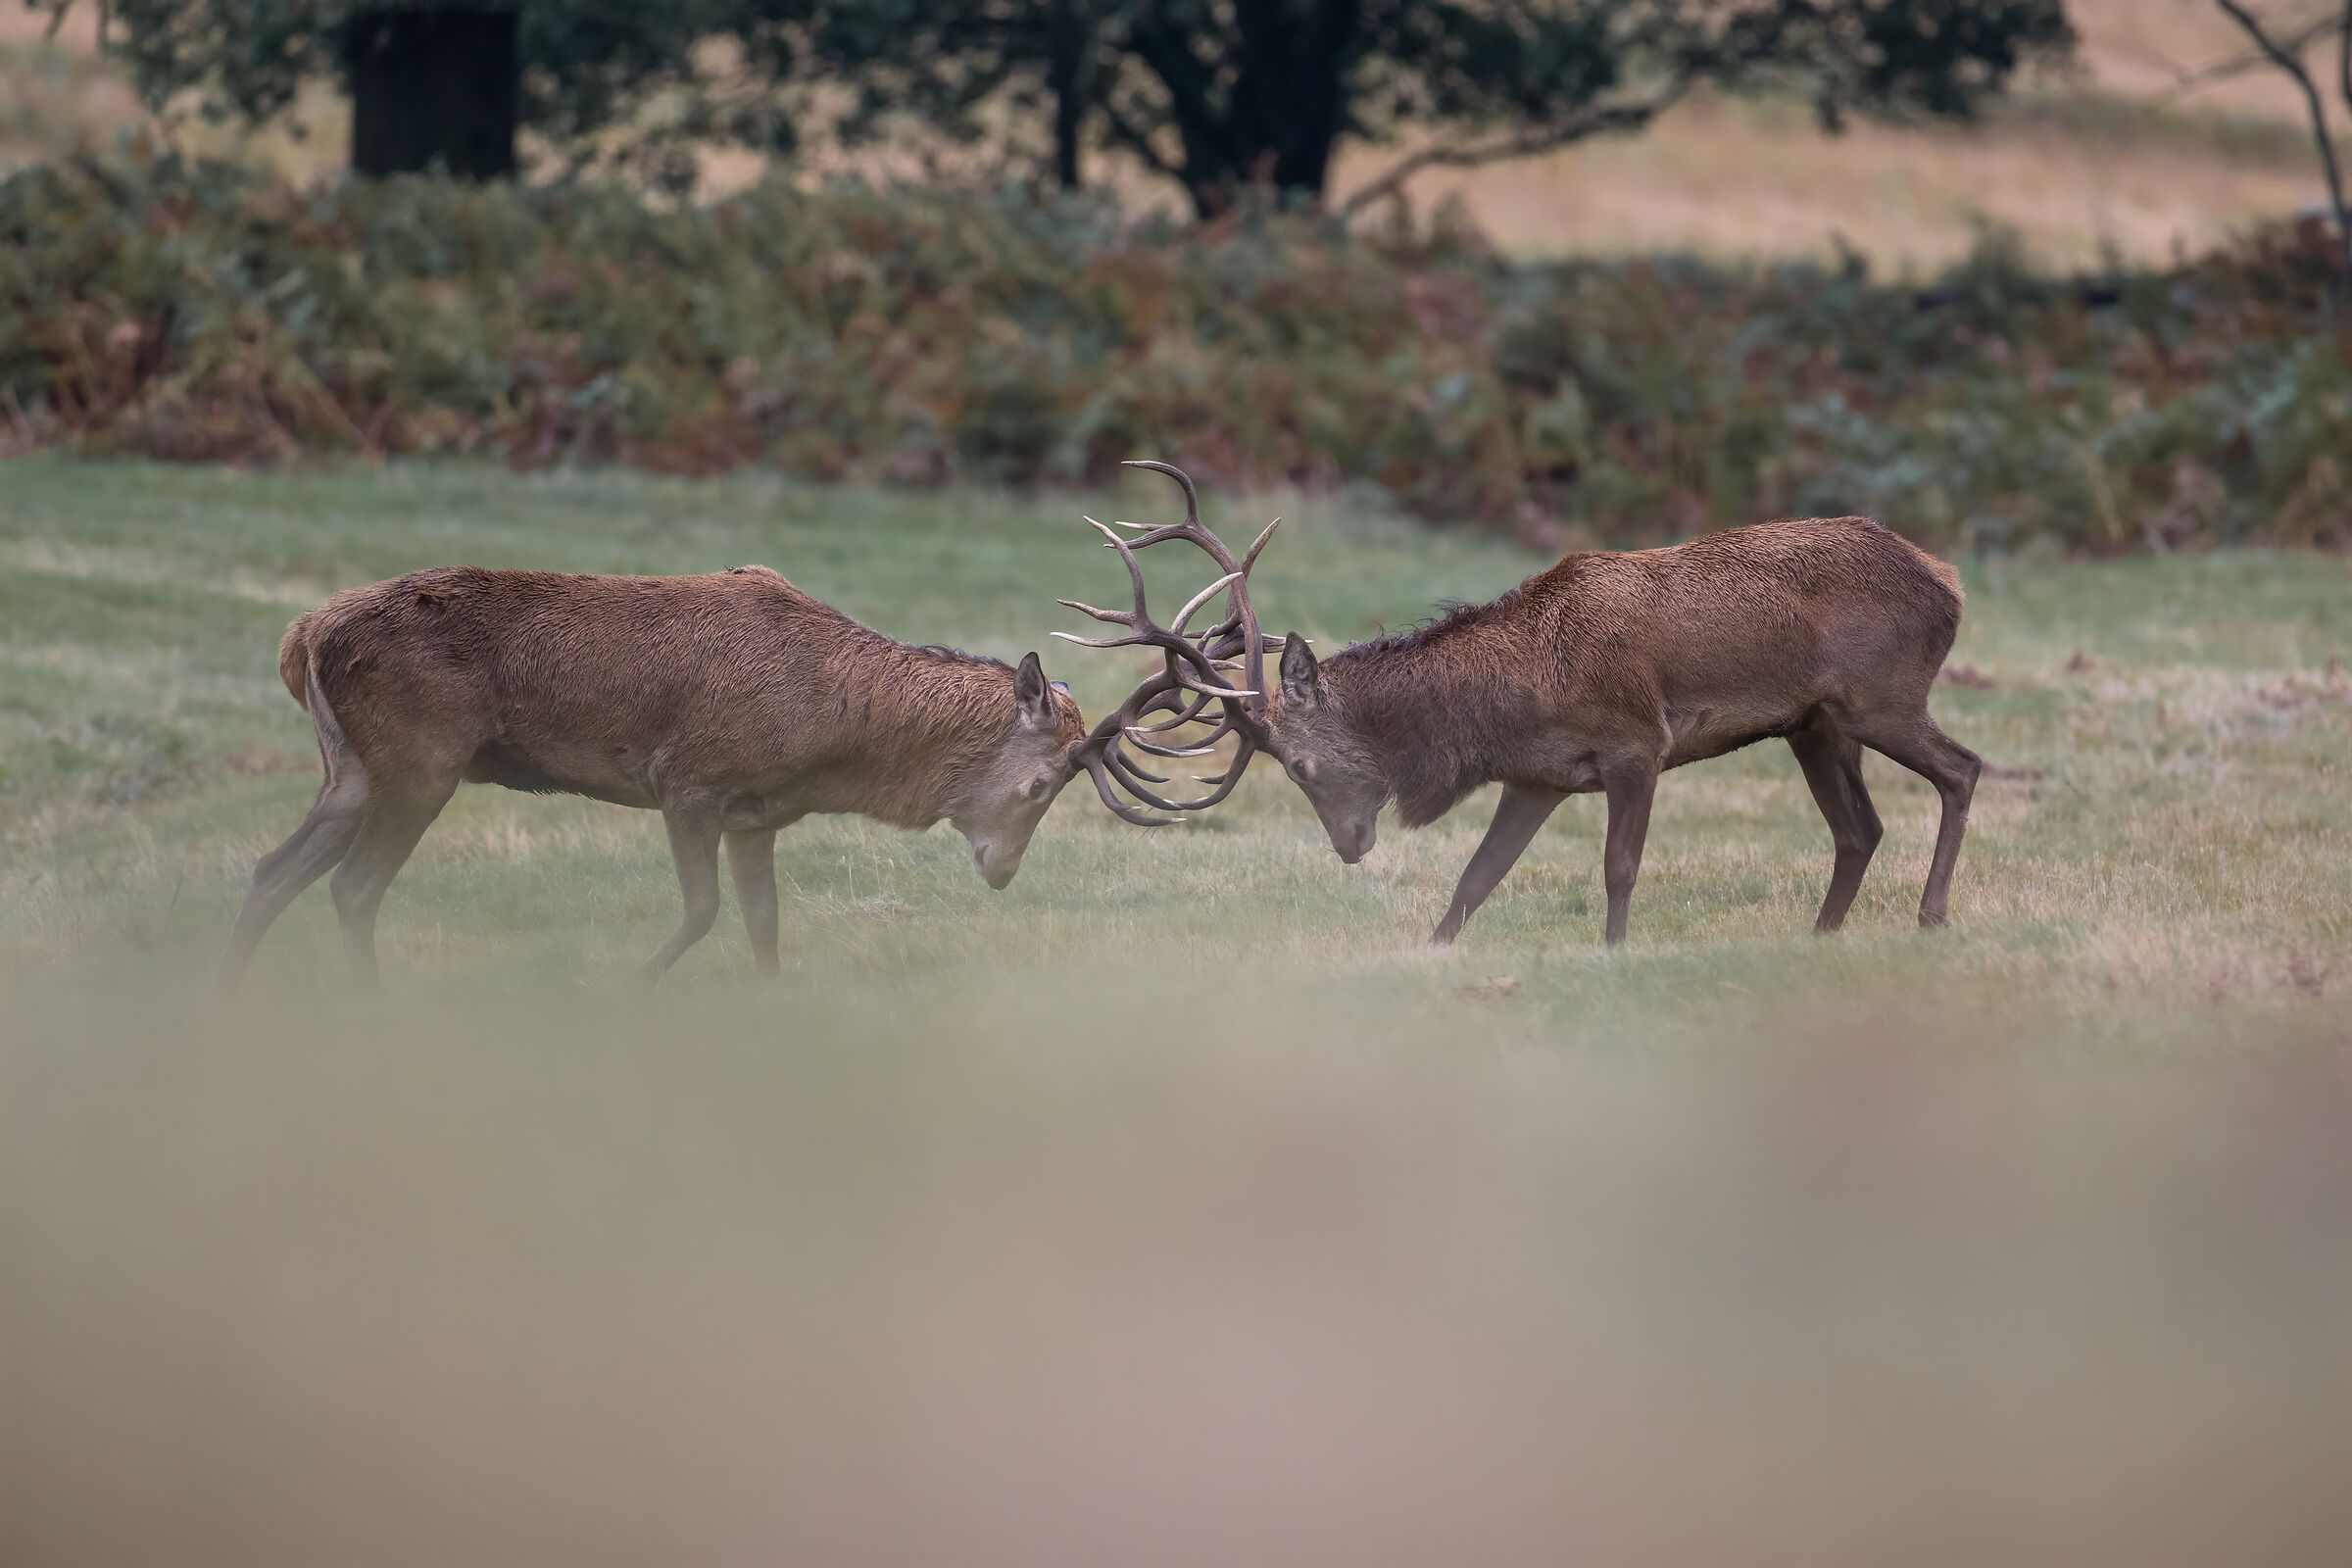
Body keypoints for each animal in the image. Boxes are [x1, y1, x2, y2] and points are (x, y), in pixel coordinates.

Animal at [218, 563, 1116, 990]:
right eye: (1041, 787)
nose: (1002, 871)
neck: (828, 740)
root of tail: (301, 637)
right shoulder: (688, 781)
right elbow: (703, 910)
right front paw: (626, 989)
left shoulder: (758, 814)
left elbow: (764, 923)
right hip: (419, 762)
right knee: (352, 886)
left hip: (350, 772)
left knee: (272, 871)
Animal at [1062, 462, 1982, 947]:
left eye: (1301, 764)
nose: (1350, 846)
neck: (1509, 704)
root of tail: (1949, 583)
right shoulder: (1537, 776)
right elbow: (1478, 877)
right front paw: (1433, 952)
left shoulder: (1637, 744)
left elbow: (1618, 867)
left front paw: (1613, 953)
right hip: (1815, 725)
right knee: (1860, 828)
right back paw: (1821, 938)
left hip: (1881, 695)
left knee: (1962, 769)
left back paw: (1932, 916)